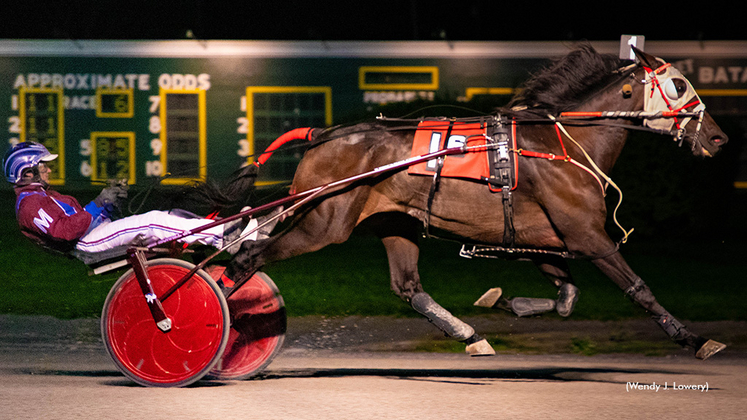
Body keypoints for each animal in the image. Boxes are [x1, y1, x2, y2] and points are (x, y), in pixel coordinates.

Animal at [225, 46, 728, 360]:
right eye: (679, 86)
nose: (719, 138)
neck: (560, 142)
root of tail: (323, 134)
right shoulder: (588, 235)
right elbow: (639, 288)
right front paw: (694, 339)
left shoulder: (540, 237)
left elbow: (566, 296)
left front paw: (505, 302)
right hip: (322, 222)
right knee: (247, 257)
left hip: (394, 223)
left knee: (408, 287)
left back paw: (469, 335)